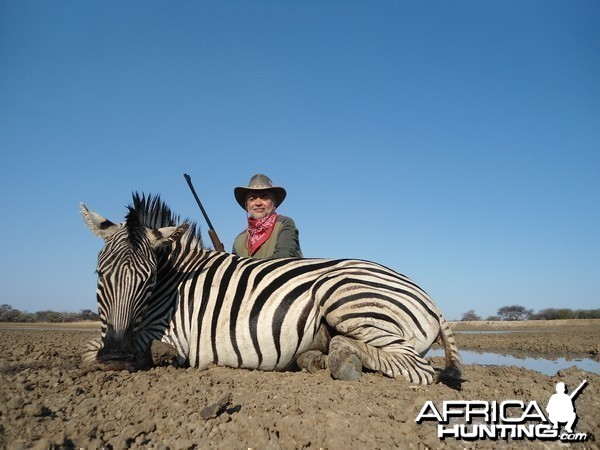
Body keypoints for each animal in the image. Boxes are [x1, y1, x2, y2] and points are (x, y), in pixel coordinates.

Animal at [79, 192, 464, 388]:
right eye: (100, 274)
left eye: (149, 279)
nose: (116, 356)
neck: (173, 285)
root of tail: (428, 297)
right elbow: (90, 348)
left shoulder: (172, 332)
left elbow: (94, 351)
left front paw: (160, 357)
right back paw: (323, 355)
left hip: (345, 297)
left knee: (417, 368)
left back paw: (341, 358)